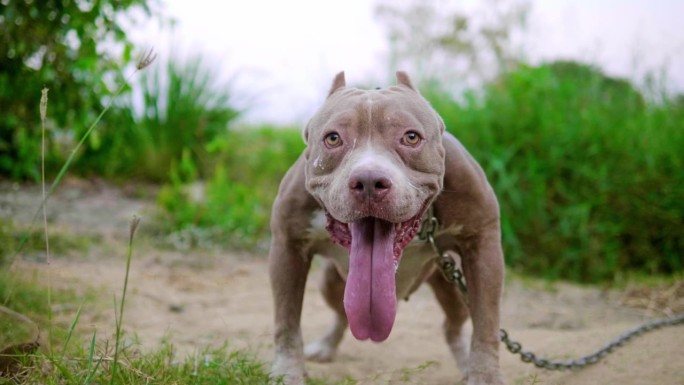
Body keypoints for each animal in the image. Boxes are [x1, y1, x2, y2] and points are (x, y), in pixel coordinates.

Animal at [270, 70, 504, 382]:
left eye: (411, 137)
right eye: (333, 138)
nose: (369, 181)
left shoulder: (482, 244)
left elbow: (487, 324)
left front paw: (485, 376)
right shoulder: (288, 247)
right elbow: (287, 321)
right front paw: (287, 372)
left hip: (454, 283)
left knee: (453, 325)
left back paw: (465, 362)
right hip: (331, 281)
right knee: (342, 314)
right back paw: (326, 345)